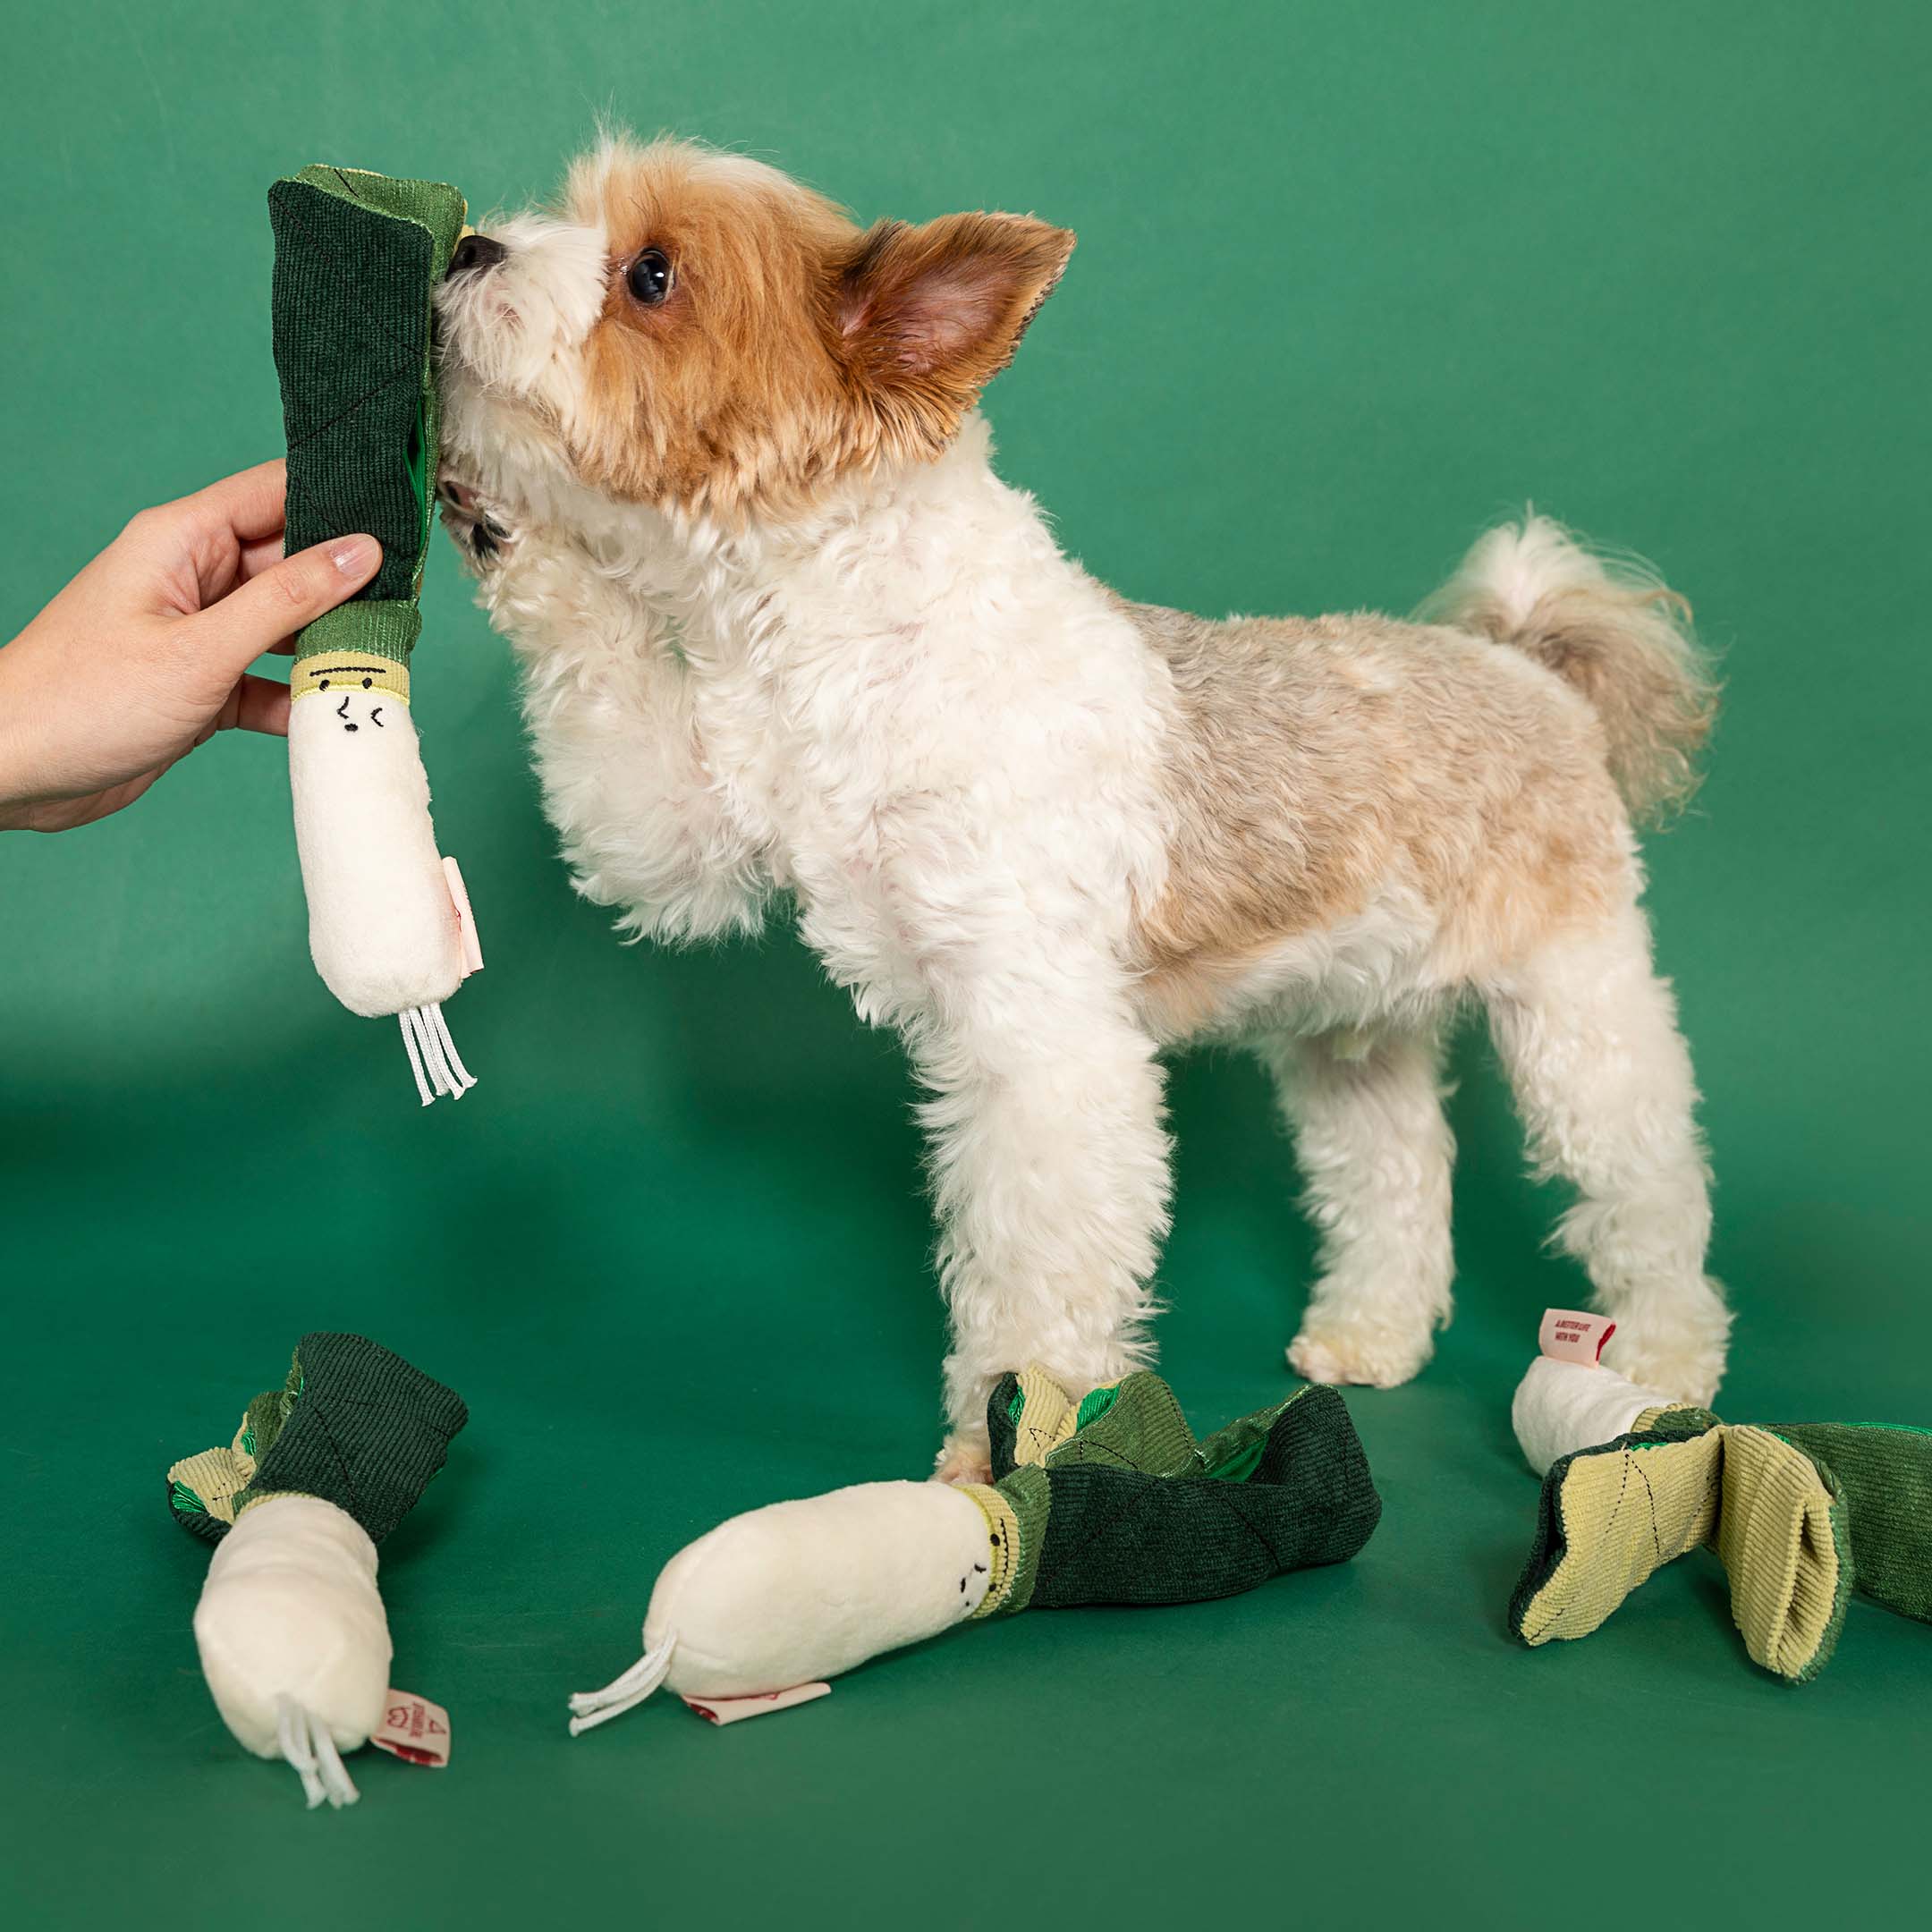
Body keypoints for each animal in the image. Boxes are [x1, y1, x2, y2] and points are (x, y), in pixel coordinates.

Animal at [430, 136, 1731, 1468]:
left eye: (651, 274)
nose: (470, 247)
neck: (855, 633)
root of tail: (1527, 667)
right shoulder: (686, 826)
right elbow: (609, 709)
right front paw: (499, 522)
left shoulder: (1043, 1043)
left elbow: (1035, 1268)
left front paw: (1014, 1444)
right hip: (1348, 1032)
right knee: (1396, 1175)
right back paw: (1371, 1334)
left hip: (1578, 1012)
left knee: (1650, 1185)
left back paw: (1667, 1367)